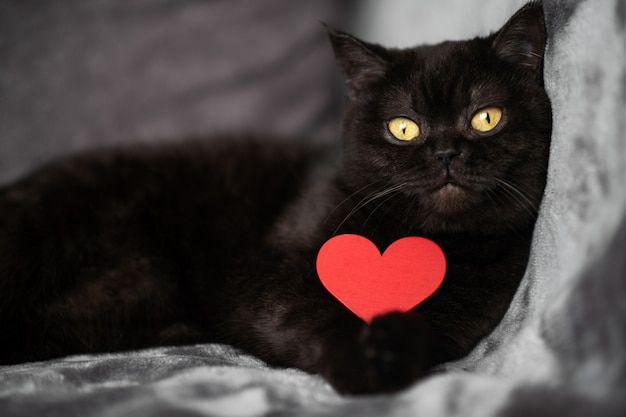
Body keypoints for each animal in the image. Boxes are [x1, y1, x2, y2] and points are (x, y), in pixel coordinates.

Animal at [0, 2, 544, 394]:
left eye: (486, 118)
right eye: (403, 128)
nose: (447, 152)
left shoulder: (459, 318)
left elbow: (423, 331)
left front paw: (390, 354)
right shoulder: (271, 283)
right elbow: (315, 318)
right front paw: (360, 367)